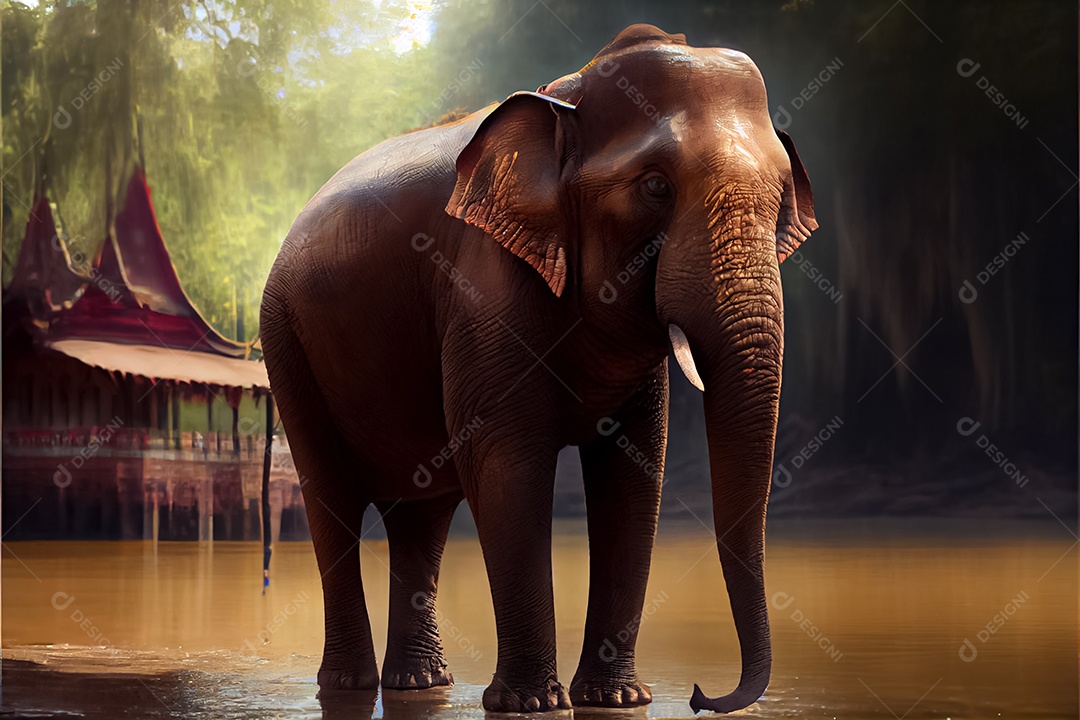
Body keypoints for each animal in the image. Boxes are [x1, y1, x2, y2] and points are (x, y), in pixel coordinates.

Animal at [260, 23, 816, 714]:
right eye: (655, 187)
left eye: (781, 198)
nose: (697, 694)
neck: (566, 95)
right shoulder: (483, 282)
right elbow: (507, 463)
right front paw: (534, 704)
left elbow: (633, 472)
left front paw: (617, 698)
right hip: (285, 339)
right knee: (331, 497)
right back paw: (350, 685)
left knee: (422, 513)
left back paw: (420, 683)